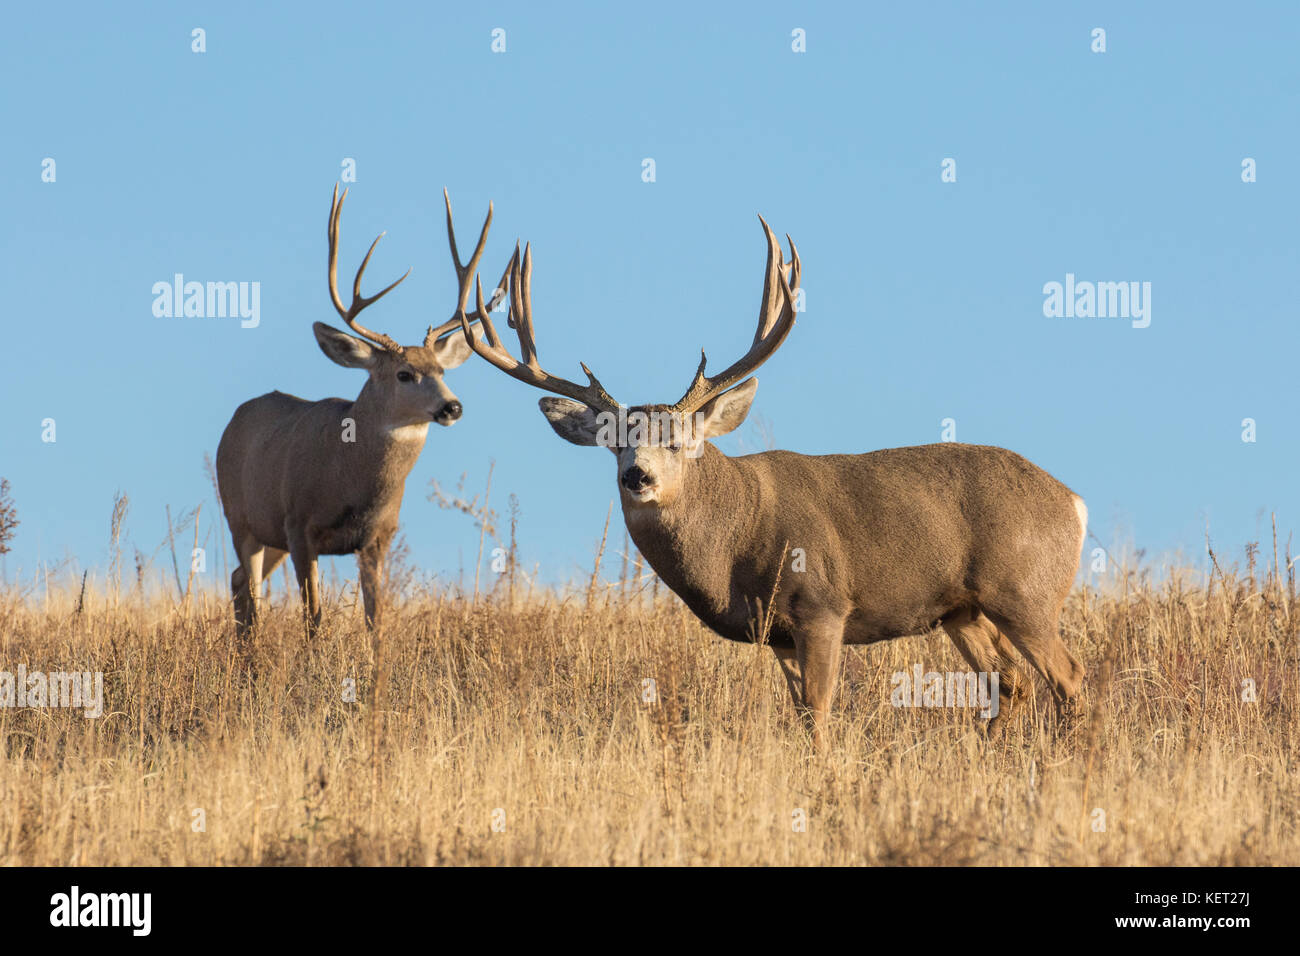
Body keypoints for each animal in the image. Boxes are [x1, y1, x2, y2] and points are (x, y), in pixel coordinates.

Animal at [215, 185, 509, 634]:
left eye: (441, 369)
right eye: (404, 374)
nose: (452, 406)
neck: (349, 475)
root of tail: (233, 421)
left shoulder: (378, 538)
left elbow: (377, 621)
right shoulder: (298, 526)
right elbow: (314, 618)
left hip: (268, 537)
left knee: (238, 583)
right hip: (242, 519)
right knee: (250, 590)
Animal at [457, 210, 1086, 749]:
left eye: (680, 440)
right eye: (614, 443)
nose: (637, 476)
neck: (737, 538)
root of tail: (1074, 502)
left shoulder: (823, 605)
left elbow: (822, 712)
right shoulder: (778, 633)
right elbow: (804, 713)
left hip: (1025, 590)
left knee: (1069, 675)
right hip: (963, 609)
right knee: (1012, 684)